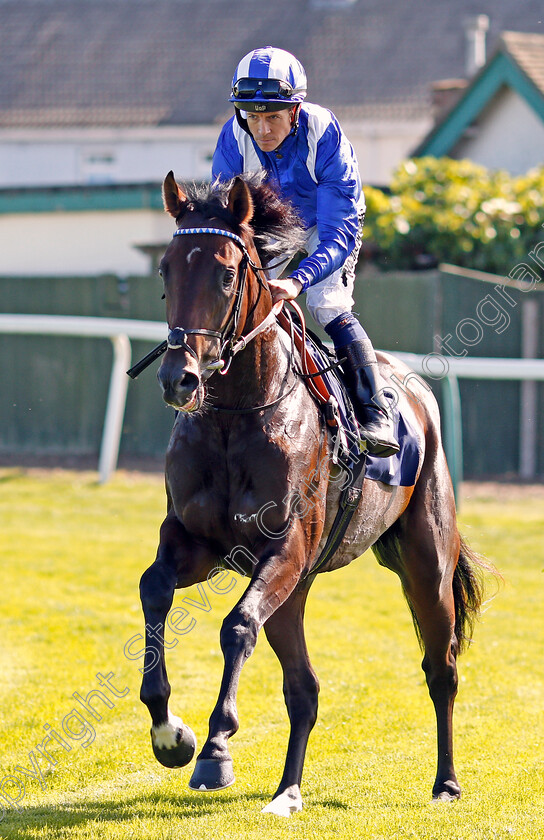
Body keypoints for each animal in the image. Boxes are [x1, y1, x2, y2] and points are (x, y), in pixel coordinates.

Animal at [138, 169, 486, 812]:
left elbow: (235, 626)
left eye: (227, 273)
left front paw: (216, 749)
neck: (237, 415)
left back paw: (446, 782)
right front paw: (170, 731)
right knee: (305, 688)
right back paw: (287, 791)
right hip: (295, 591)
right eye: (166, 271)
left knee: (441, 669)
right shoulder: (198, 542)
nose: (181, 379)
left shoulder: (287, 546)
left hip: (424, 561)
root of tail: (416, 389)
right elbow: (154, 589)